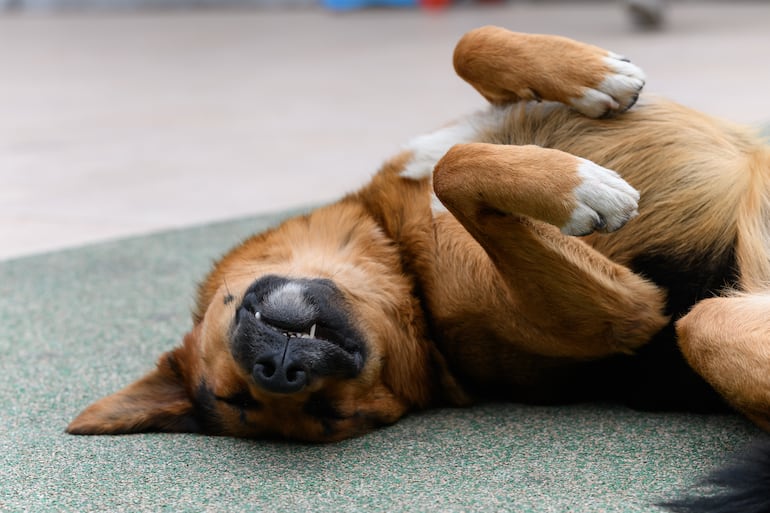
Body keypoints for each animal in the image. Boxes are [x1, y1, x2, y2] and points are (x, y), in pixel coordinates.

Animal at [67, 27, 768, 508]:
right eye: (333, 418)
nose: (280, 370)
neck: (406, 270)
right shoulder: (628, 309)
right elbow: (456, 170)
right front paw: (579, 189)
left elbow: (466, 47)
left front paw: (595, 74)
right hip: (708, 322)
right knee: (703, 323)